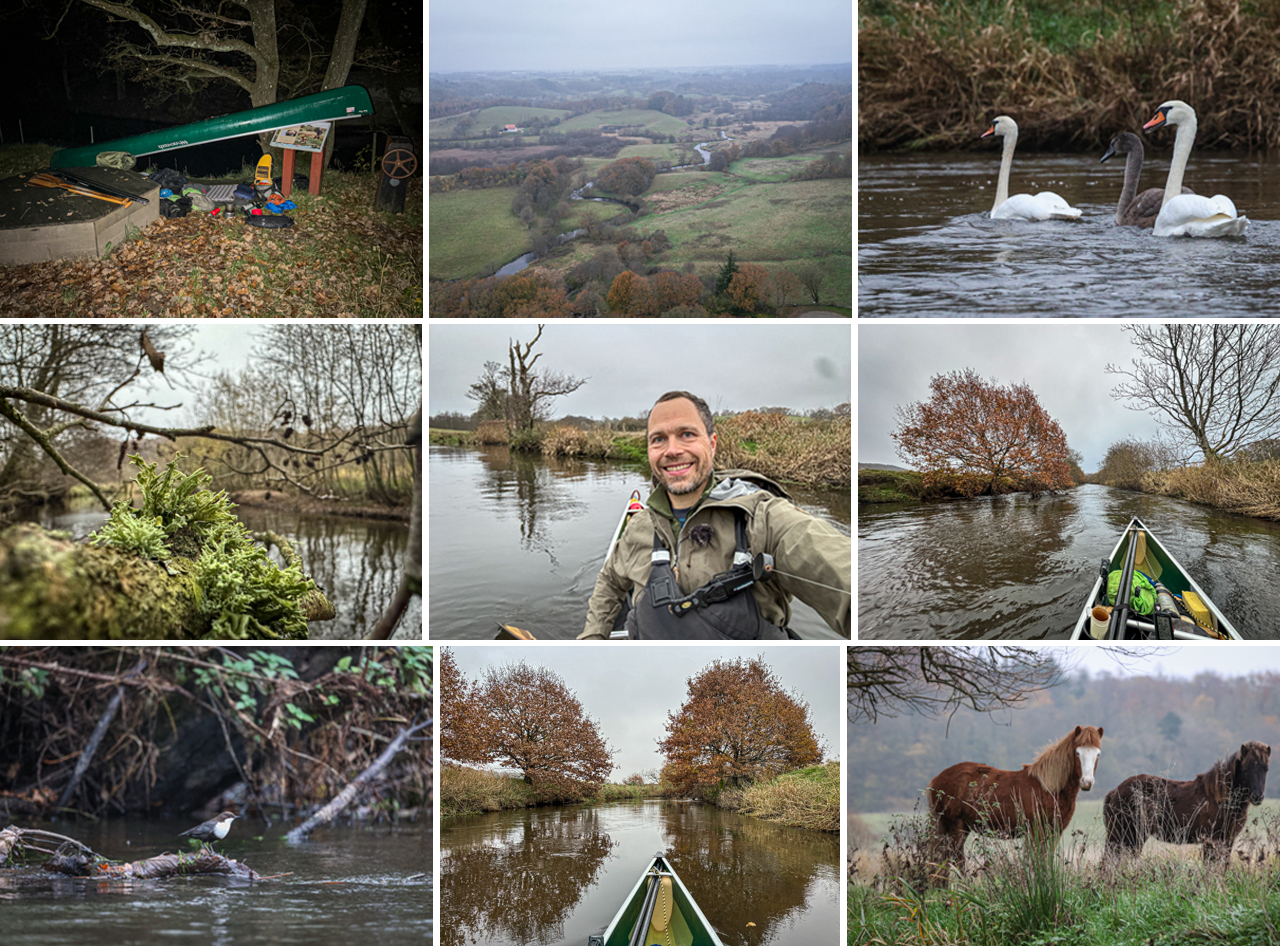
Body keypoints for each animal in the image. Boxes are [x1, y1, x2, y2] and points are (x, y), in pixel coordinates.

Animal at [926, 727, 1105, 875]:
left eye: (1098, 754)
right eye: (1077, 753)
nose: (1087, 782)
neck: (1049, 788)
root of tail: (936, 780)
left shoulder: (1054, 831)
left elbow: (1046, 861)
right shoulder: (1036, 831)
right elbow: (1036, 862)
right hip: (956, 826)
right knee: (957, 861)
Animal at [1100, 742, 1269, 865]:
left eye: (1266, 769)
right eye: (1246, 770)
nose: (1257, 797)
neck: (1222, 797)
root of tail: (1114, 792)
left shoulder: (1227, 840)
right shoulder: (1212, 840)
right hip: (1123, 836)